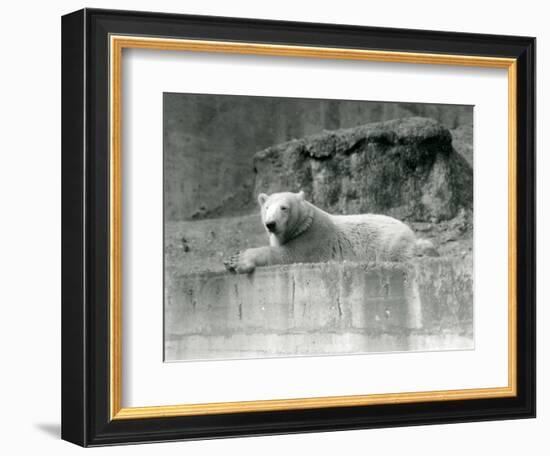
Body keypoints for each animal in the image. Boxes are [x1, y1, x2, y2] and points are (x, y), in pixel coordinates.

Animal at [224, 190, 436, 274]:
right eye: (267, 207)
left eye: (284, 208)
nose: (271, 224)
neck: (305, 222)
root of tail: (409, 230)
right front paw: (229, 261)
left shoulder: (312, 238)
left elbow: (287, 255)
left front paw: (238, 259)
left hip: (390, 242)